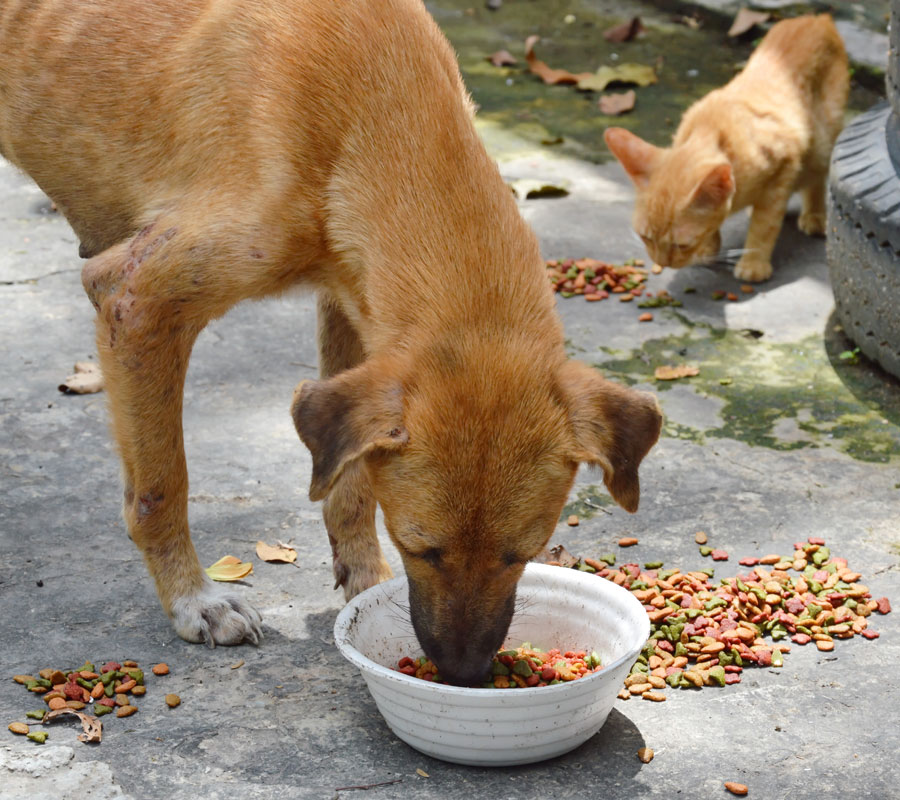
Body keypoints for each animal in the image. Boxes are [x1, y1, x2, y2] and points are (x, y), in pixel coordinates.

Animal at [0, 0, 660, 680]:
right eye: (421, 547)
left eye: (523, 553)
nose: (464, 673)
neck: (377, 110)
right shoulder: (135, 302)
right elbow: (162, 485)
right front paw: (195, 599)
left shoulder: (354, 303)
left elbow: (350, 485)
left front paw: (364, 582)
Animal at [604, 13, 852, 284]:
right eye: (646, 237)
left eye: (681, 245)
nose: (662, 263)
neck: (710, 133)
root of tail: (817, 18)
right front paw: (710, 246)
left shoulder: (784, 167)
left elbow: (765, 225)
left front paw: (753, 263)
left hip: (822, 143)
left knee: (817, 176)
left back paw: (814, 215)